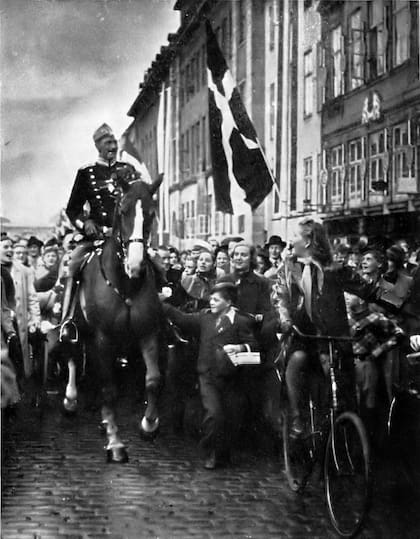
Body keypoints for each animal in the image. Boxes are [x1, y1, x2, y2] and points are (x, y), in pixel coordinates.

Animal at [62, 177, 164, 464]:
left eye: (151, 213)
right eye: (123, 210)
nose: (136, 265)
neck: (126, 285)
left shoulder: (148, 334)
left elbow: (153, 380)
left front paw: (149, 424)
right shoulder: (103, 338)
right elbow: (109, 389)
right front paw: (115, 443)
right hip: (78, 330)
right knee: (73, 357)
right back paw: (71, 400)